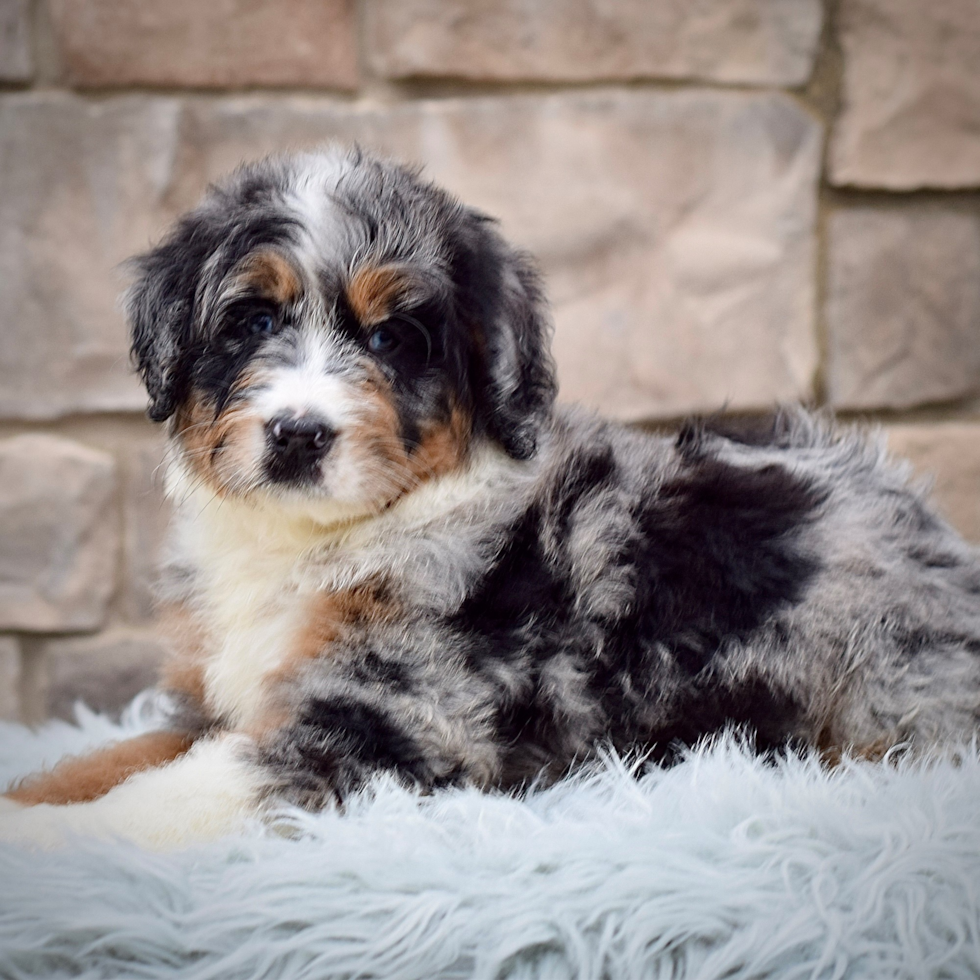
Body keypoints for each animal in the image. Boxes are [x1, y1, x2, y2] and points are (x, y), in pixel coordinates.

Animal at [1, 147, 980, 848]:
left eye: (392, 339)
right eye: (252, 321)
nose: (298, 434)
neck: (314, 541)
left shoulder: (391, 714)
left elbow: (166, 796)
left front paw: (48, 851)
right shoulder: (213, 705)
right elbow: (103, 760)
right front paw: (30, 800)